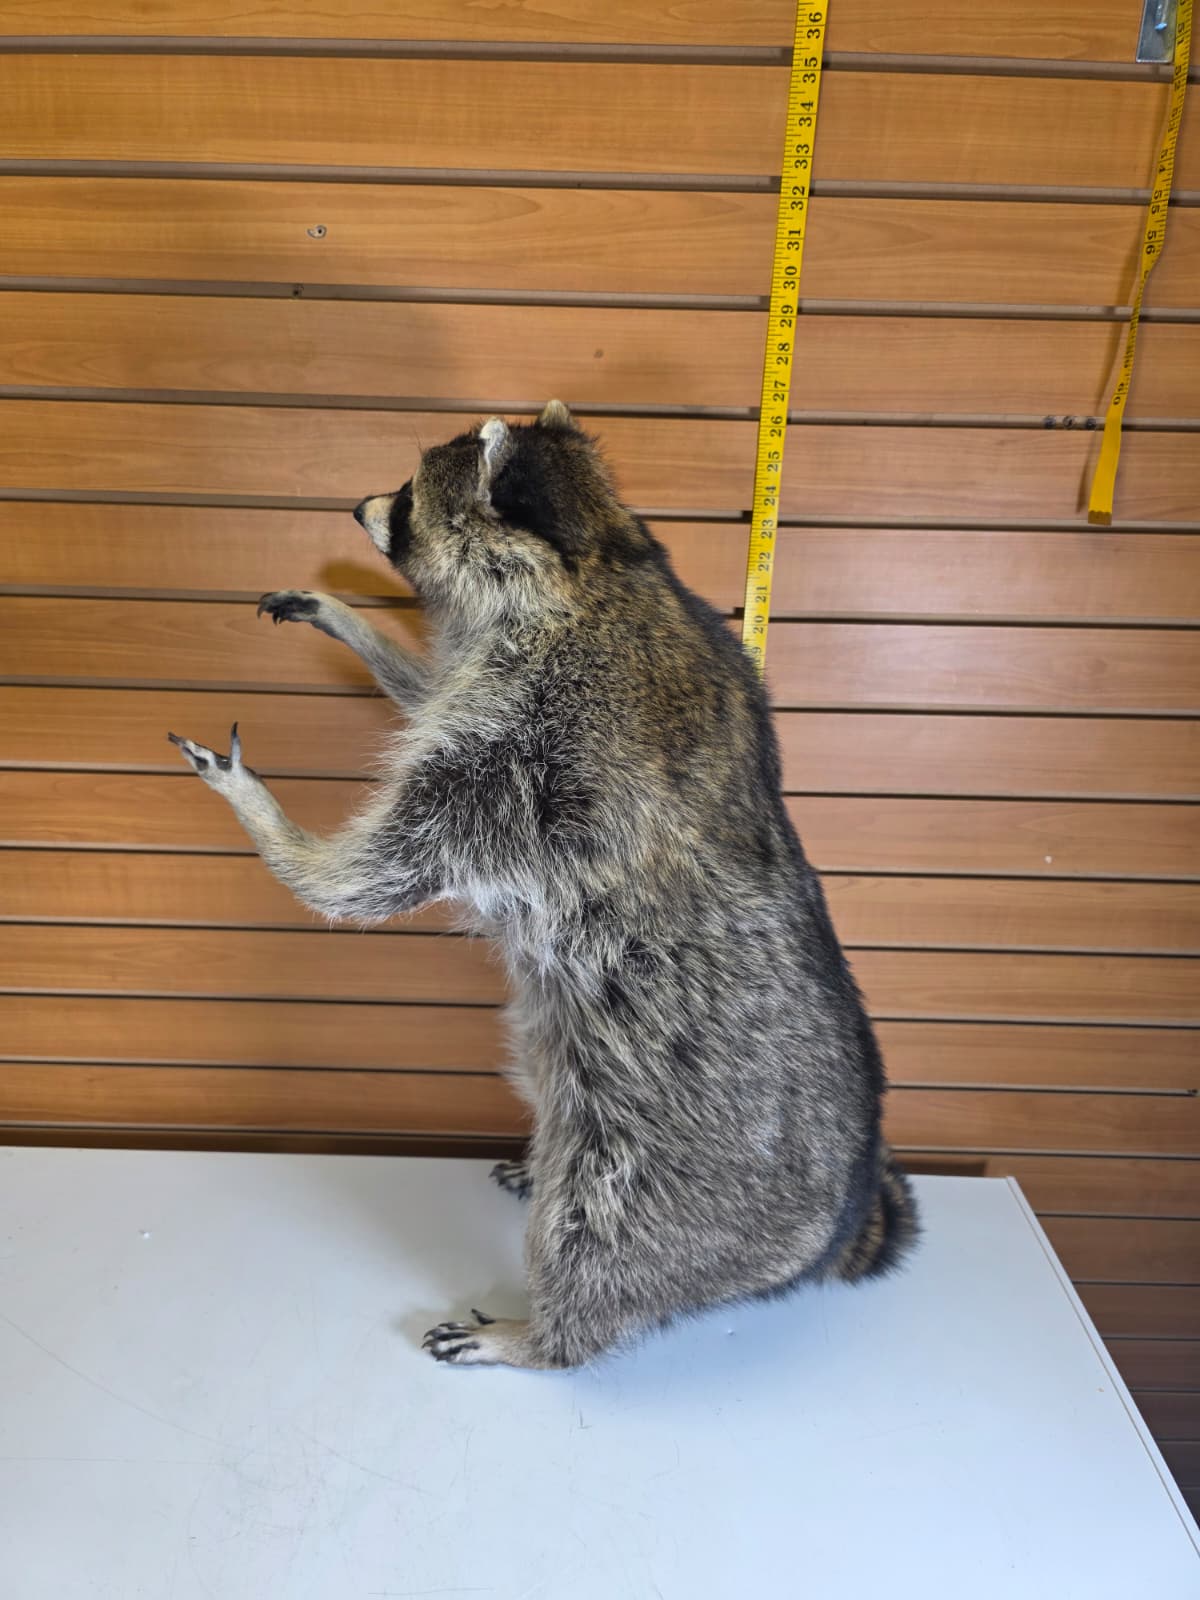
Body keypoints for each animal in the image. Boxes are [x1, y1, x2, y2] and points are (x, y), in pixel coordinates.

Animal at [169, 401, 918, 1369]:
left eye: (406, 495)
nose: (354, 506)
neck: (598, 559)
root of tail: (835, 1224)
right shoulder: (499, 697)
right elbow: (427, 692)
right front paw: (357, 625)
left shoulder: (523, 754)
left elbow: (365, 883)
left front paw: (267, 819)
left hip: (669, 1176)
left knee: (596, 1240)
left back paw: (541, 1334)